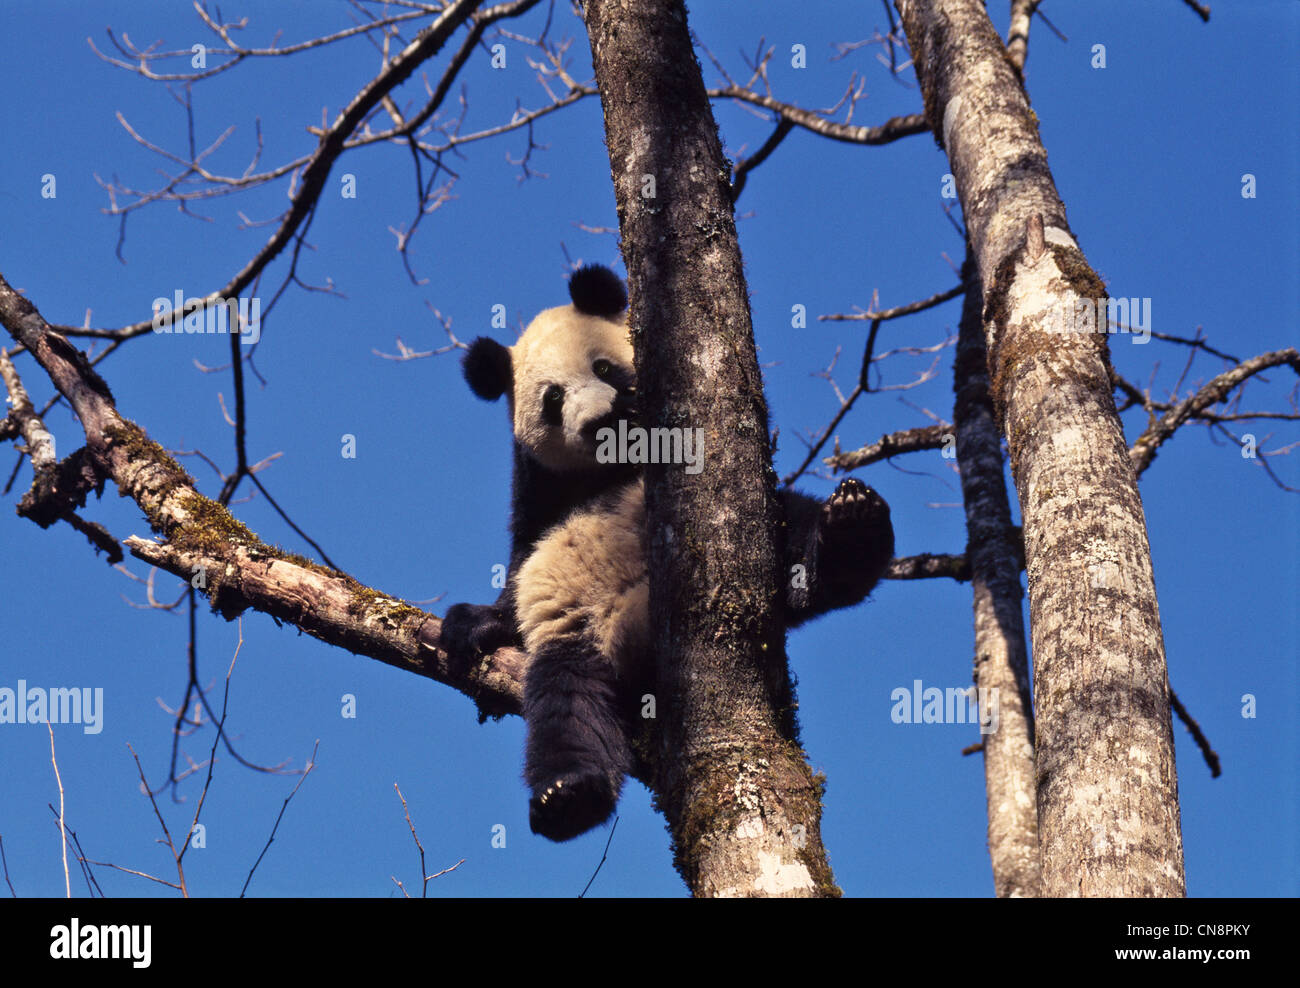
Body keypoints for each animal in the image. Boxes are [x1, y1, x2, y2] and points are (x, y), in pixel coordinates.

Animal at [439, 264, 894, 842]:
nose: (599, 421)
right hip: (579, 636)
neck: (612, 467)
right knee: (568, 703)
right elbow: (522, 559)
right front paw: (473, 622)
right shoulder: (541, 488)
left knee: (795, 530)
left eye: (605, 368)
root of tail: (632, 623)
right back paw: (567, 796)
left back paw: (853, 531)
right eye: (553, 401)